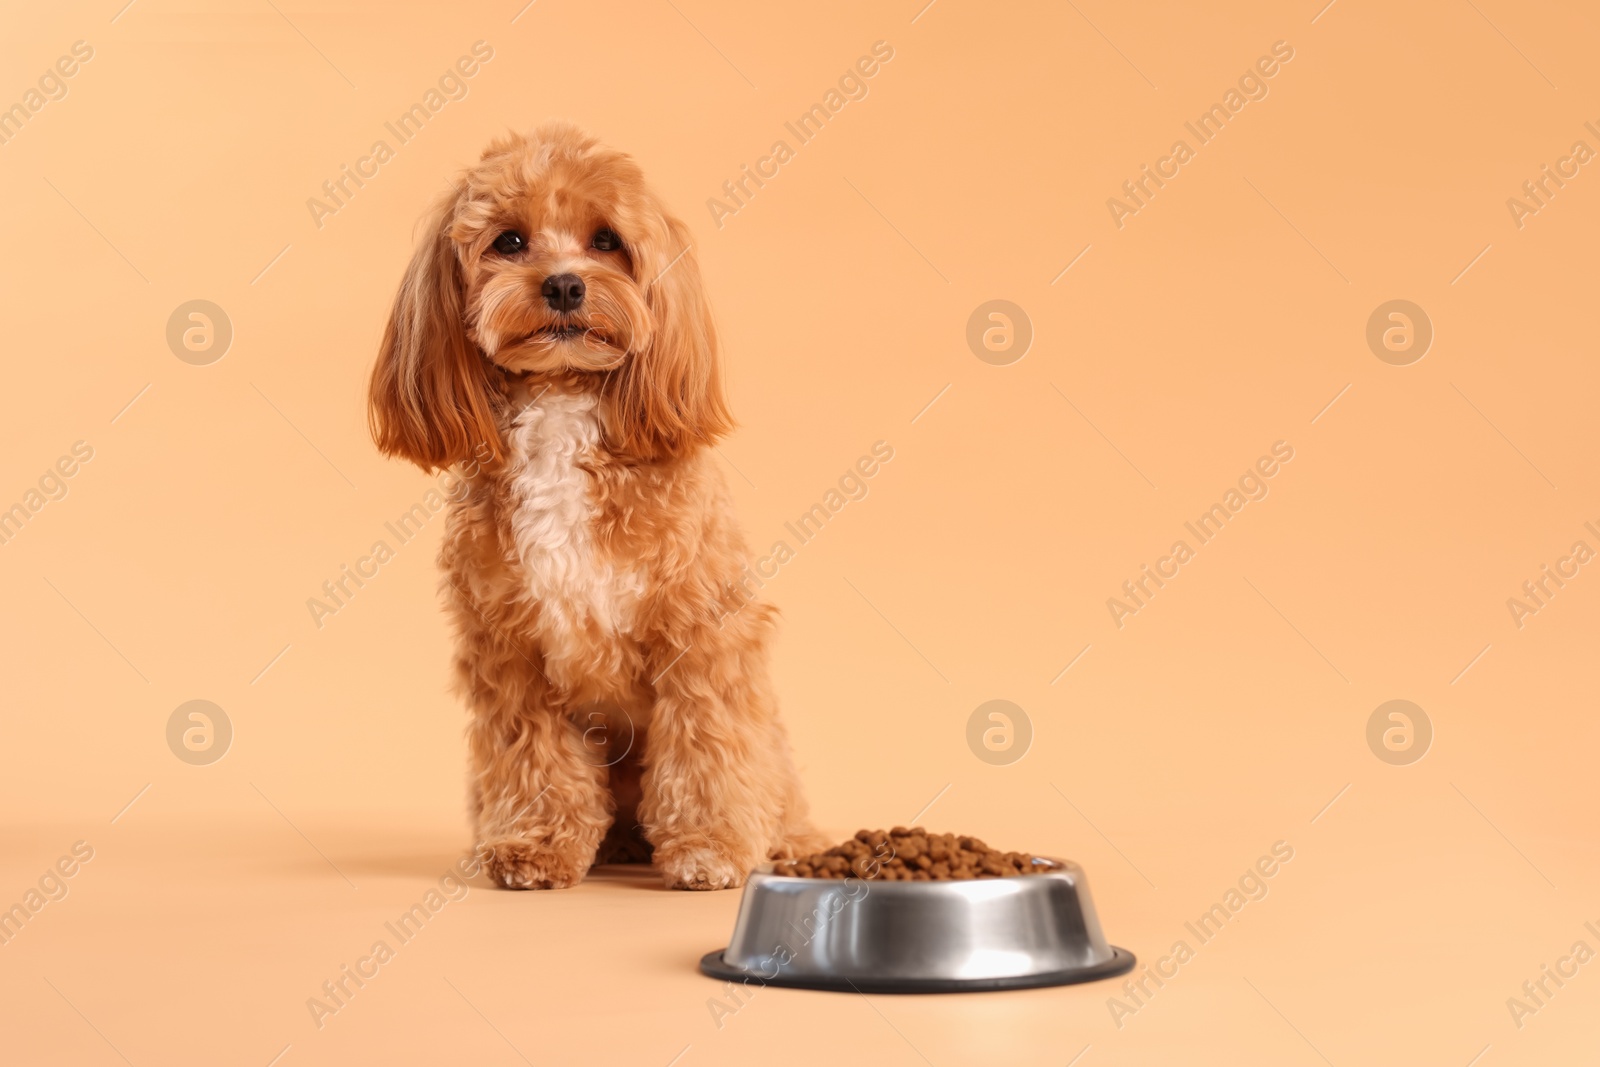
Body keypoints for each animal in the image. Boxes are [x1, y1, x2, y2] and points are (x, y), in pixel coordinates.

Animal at [368, 123, 832, 895]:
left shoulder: (700, 634)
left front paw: (709, 847)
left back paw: (788, 842)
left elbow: (706, 744)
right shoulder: (511, 651)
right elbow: (536, 757)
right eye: (509, 241)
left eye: (607, 240)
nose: (563, 283)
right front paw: (535, 844)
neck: (562, 404)